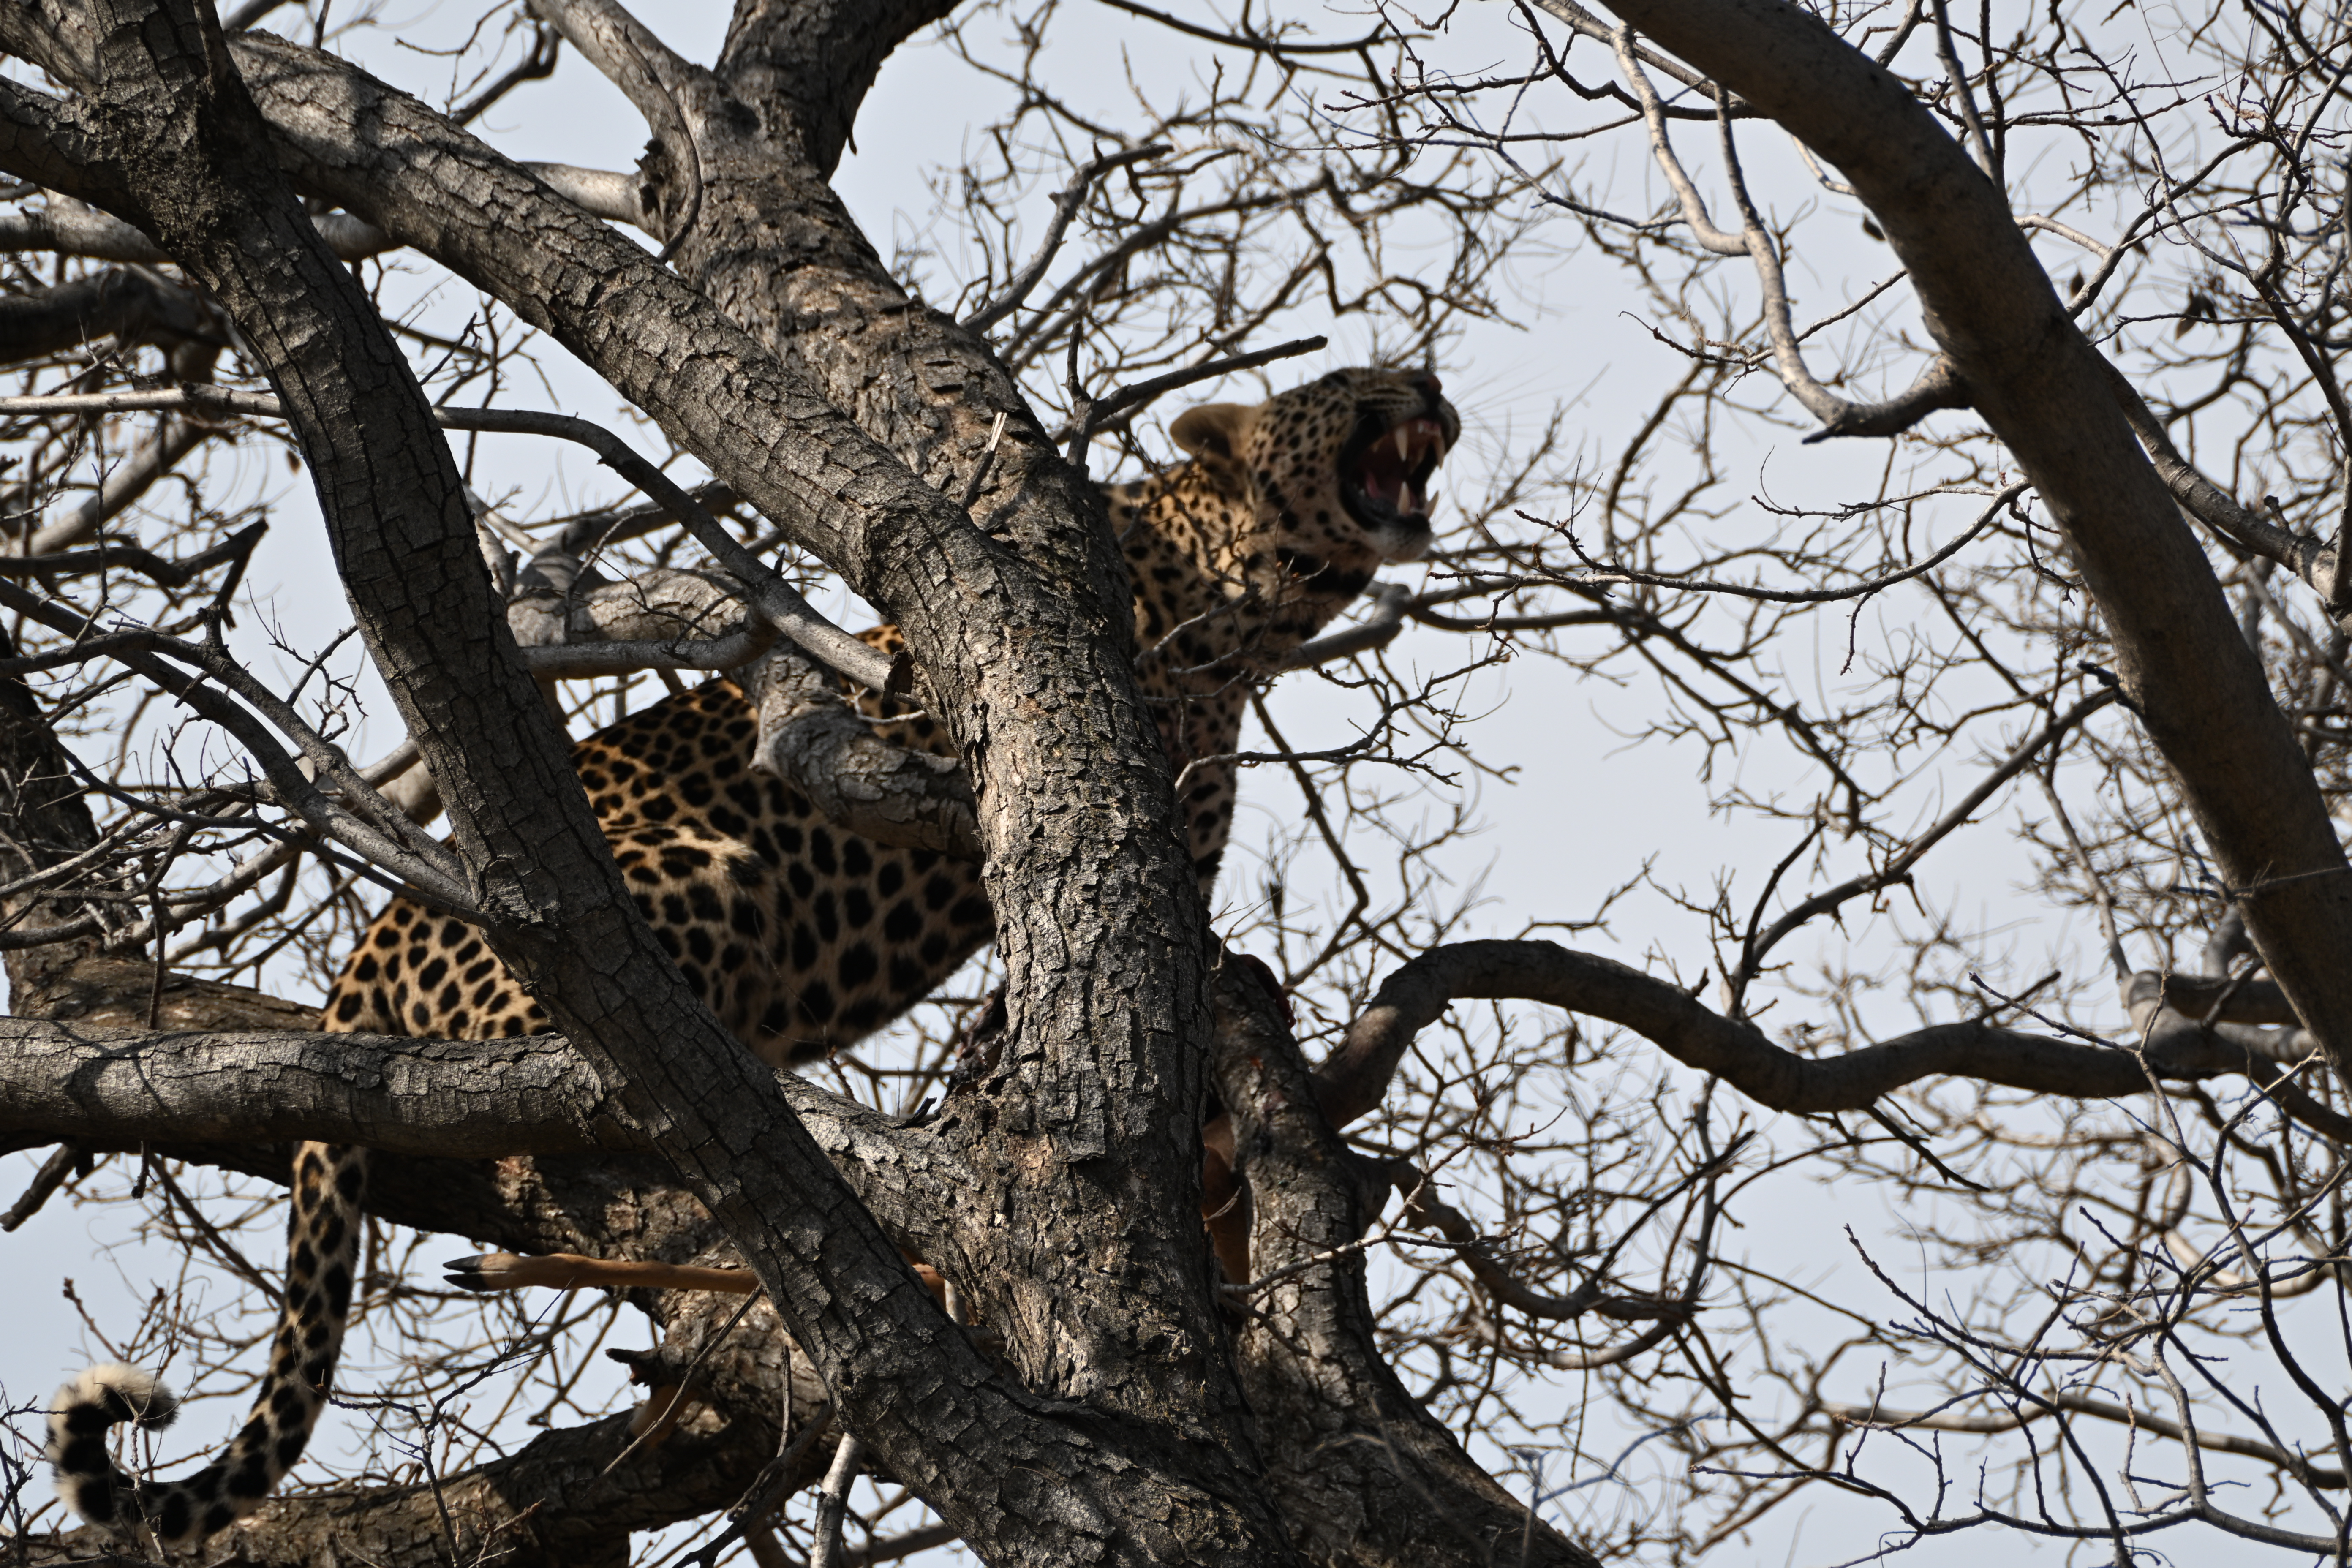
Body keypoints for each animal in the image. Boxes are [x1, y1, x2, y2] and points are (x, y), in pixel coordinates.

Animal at [47, 367, 1458, 1545]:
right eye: (1352, 384)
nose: (1429, 384)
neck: (1232, 605)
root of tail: (362, 959)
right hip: (694, 885)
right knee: (582, 1081)